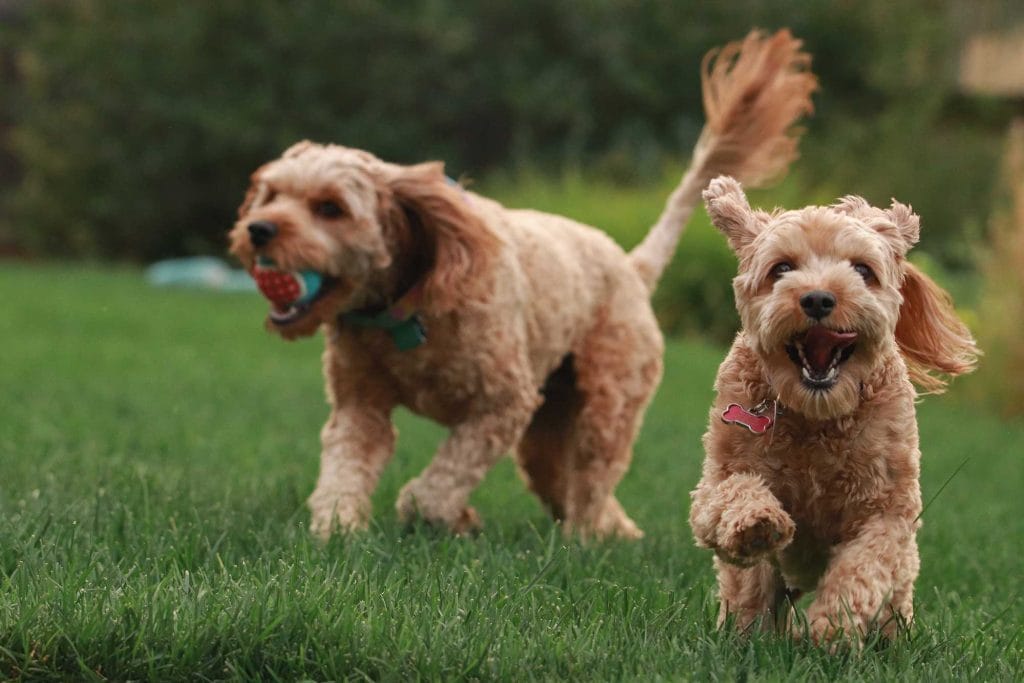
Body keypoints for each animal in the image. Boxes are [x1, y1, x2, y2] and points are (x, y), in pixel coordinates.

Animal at [228, 30, 811, 540]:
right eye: (271, 194)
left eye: (330, 208)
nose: (257, 230)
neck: (405, 310)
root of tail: (631, 266)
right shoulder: (360, 406)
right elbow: (345, 467)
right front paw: (337, 530)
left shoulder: (502, 402)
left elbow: (437, 485)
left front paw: (441, 515)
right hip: (549, 420)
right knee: (562, 475)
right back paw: (615, 531)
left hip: (608, 400)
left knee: (592, 474)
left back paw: (585, 537)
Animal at [692, 175, 978, 643]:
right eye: (781, 269)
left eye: (862, 270)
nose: (818, 299)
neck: (816, 414)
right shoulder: (717, 478)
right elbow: (732, 493)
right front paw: (757, 522)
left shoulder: (888, 508)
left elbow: (865, 564)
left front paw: (833, 625)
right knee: (750, 593)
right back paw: (745, 634)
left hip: (900, 583)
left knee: (893, 599)